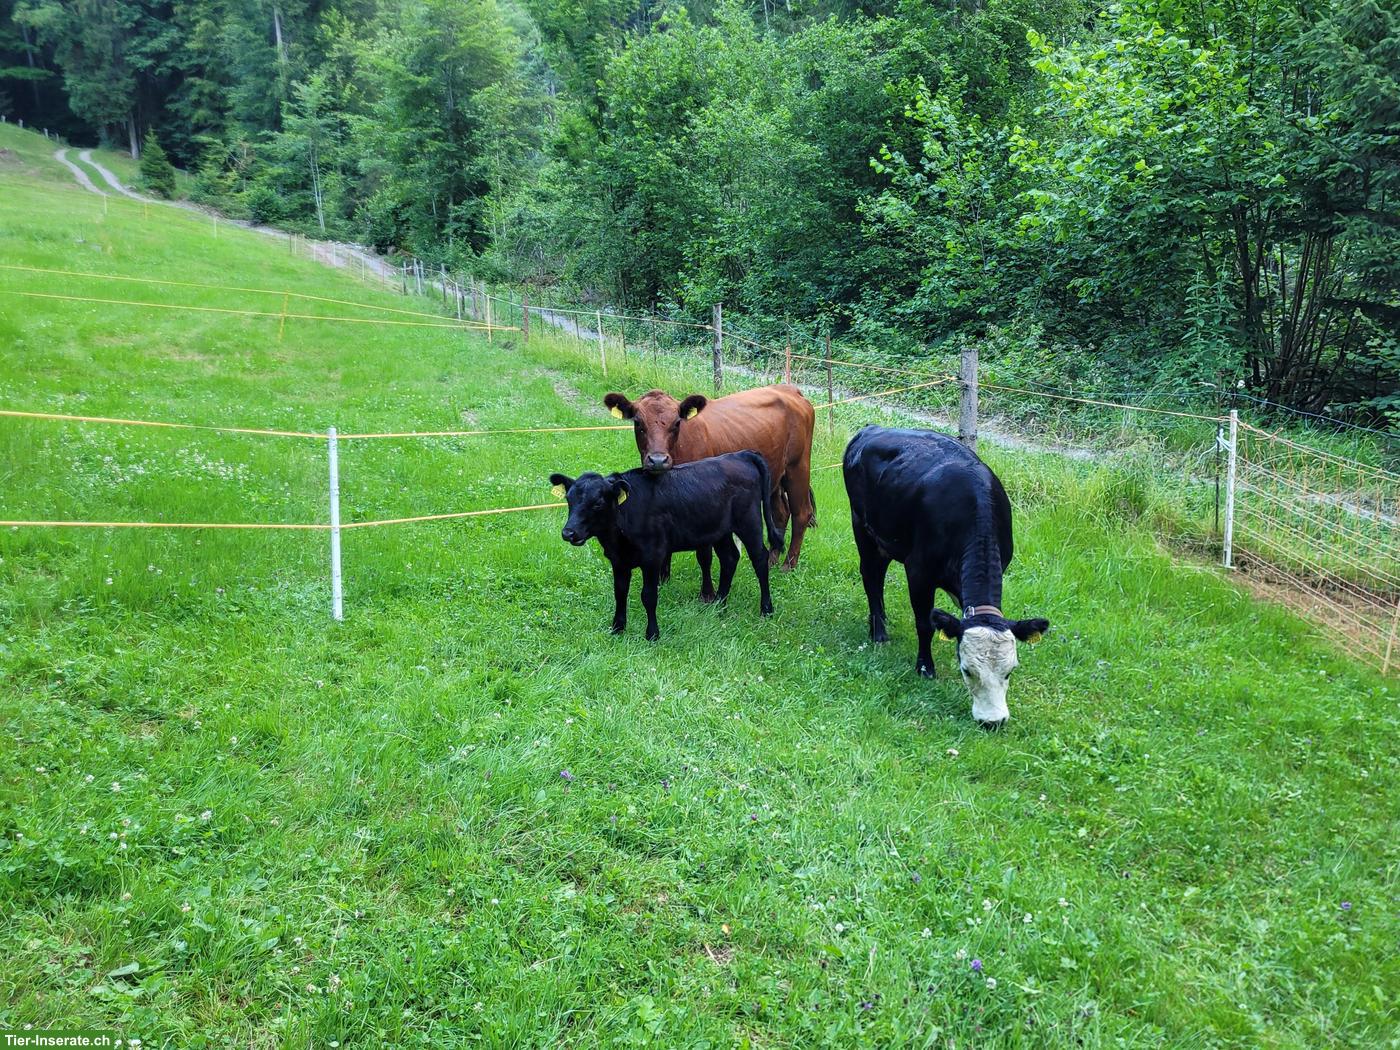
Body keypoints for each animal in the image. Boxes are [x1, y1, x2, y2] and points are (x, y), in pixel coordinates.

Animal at [549, 450, 782, 641]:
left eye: (598, 503)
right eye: (569, 499)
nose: (569, 533)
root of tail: (740, 455)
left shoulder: (653, 557)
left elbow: (648, 595)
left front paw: (652, 634)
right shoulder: (618, 560)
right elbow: (620, 592)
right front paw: (617, 629)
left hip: (749, 522)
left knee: (760, 558)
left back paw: (766, 610)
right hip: (720, 530)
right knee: (729, 558)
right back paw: (718, 605)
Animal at [602, 385, 816, 571]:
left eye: (677, 423)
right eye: (638, 423)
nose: (657, 460)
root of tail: (789, 389)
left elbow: (703, 553)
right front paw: (663, 578)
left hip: (798, 466)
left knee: (801, 513)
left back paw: (788, 565)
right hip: (774, 475)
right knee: (781, 513)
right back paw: (772, 560)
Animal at [842, 426, 1049, 728]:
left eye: (1010, 671)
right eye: (967, 670)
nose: (992, 721)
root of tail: (872, 428)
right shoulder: (918, 571)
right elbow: (924, 624)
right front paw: (925, 667)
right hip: (863, 527)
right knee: (872, 577)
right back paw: (879, 632)